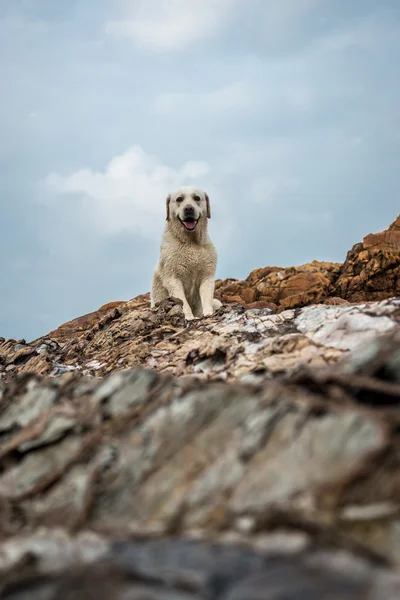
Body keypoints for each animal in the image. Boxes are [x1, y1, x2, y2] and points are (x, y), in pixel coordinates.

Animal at [152, 186, 223, 322]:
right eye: (179, 199)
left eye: (197, 198)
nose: (189, 209)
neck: (191, 243)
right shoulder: (173, 278)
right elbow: (183, 302)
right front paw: (189, 317)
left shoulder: (207, 276)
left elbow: (206, 297)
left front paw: (208, 313)